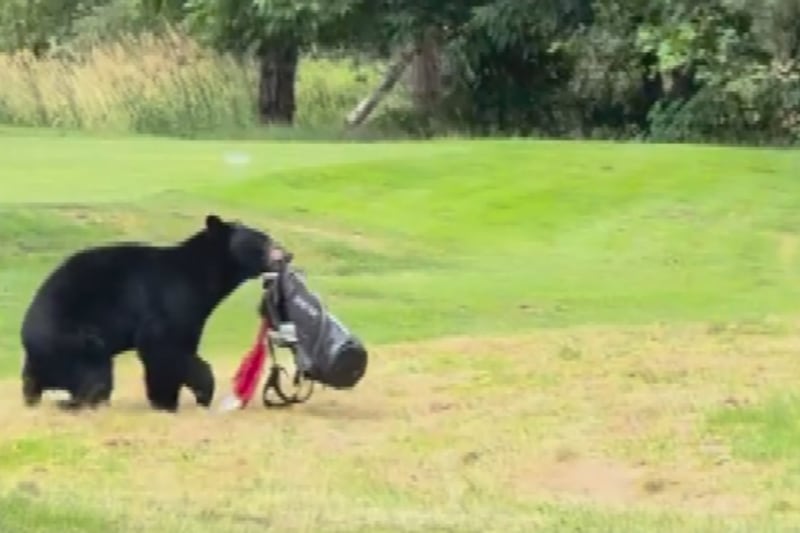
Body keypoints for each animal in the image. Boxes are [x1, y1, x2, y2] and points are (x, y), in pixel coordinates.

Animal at [20, 214, 286, 412]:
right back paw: (80, 402)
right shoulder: (169, 302)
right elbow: (162, 347)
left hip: (43, 359)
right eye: (265, 241)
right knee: (94, 373)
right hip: (74, 338)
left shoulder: (192, 315)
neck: (200, 275)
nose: (288, 255)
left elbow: (183, 346)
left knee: (33, 381)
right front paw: (182, 397)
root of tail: (29, 339)